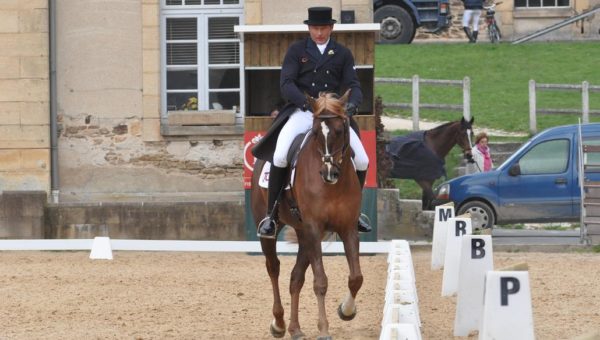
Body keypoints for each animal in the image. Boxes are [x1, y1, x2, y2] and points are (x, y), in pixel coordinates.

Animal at [251, 91, 364, 338]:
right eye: (314, 133)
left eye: (340, 130)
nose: (329, 173)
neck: (333, 186)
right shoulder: (314, 228)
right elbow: (320, 281)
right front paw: (324, 329)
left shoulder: (347, 228)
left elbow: (356, 278)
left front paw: (346, 310)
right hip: (274, 227)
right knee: (273, 268)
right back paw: (279, 324)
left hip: (303, 234)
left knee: (296, 278)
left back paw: (295, 329)